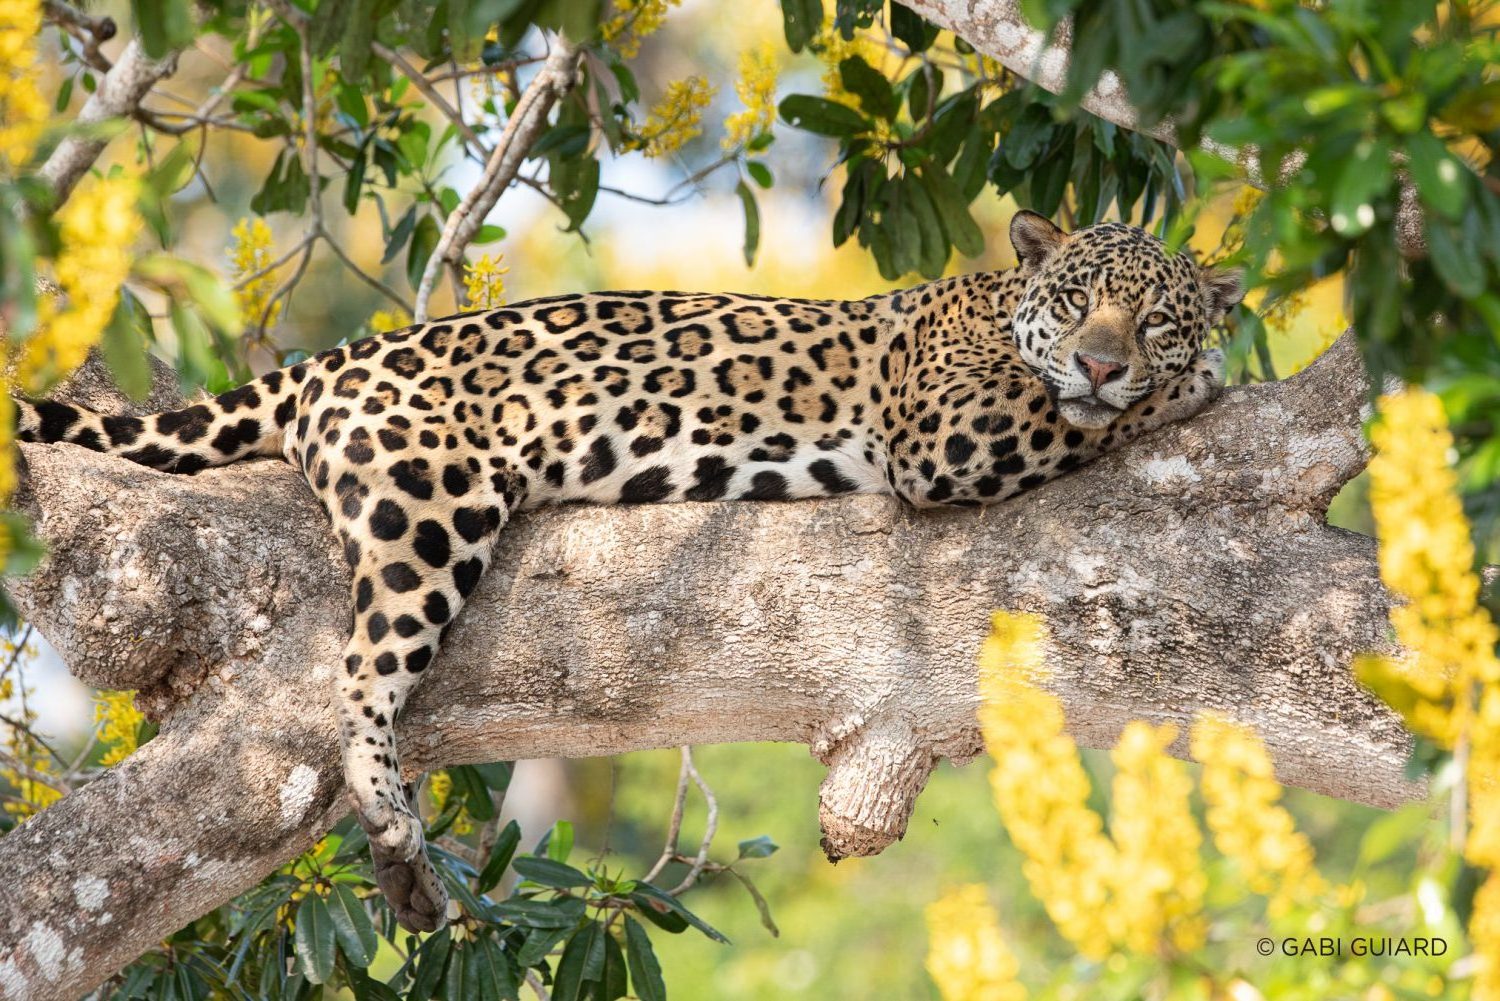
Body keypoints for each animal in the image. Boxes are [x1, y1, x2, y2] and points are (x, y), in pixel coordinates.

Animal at [13, 211, 1242, 932]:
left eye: (1154, 316)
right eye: (1080, 303)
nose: (1105, 358)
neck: (994, 305)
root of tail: (337, 355)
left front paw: (1180, 373)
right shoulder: (945, 431)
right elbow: (1069, 416)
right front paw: (1190, 387)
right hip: (428, 505)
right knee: (359, 672)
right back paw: (397, 834)